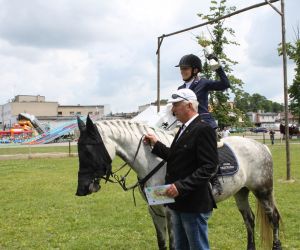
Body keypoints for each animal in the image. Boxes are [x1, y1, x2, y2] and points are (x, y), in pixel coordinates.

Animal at [75, 115, 282, 250]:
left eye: (88, 150)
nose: (82, 189)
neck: (154, 161)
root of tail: (261, 146)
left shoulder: (170, 211)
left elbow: (174, 244)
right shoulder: (154, 210)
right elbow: (162, 242)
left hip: (263, 190)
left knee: (273, 218)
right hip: (241, 192)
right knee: (249, 220)